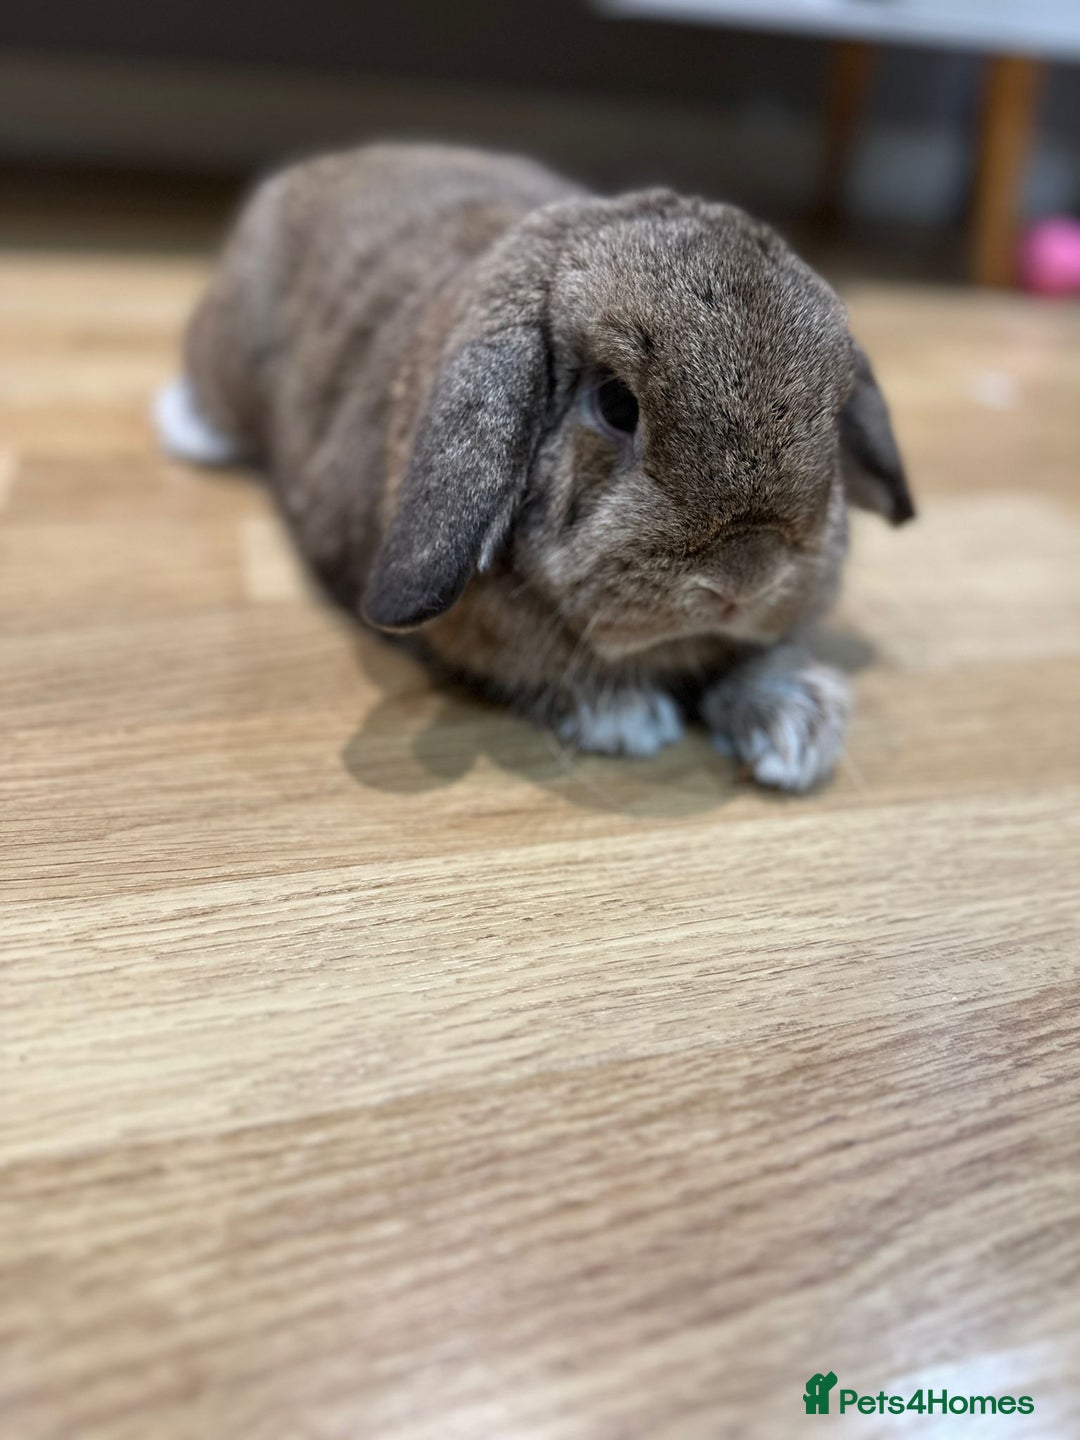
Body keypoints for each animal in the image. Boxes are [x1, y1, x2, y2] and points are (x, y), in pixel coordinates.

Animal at [156, 143, 914, 791]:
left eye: (834, 409)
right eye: (616, 404)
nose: (744, 579)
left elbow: (765, 654)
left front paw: (795, 730)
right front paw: (629, 720)